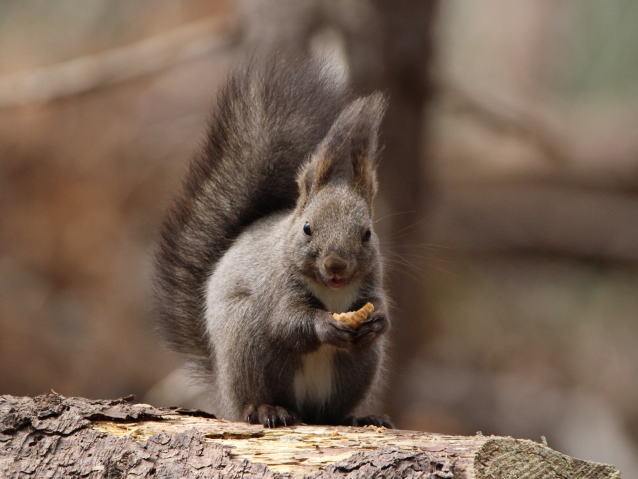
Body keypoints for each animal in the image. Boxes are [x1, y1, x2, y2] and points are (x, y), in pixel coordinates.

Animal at [154, 56, 391, 428]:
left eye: (367, 233)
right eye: (307, 228)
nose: (336, 266)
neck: (332, 292)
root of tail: (224, 391)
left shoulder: (371, 284)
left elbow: (381, 307)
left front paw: (378, 322)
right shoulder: (276, 286)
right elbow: (286, 321)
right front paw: (324, 325)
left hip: (359, 368)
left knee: (332, 413)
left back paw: (357, 418)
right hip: (247, 342)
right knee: (254, 398)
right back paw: (266, 410)